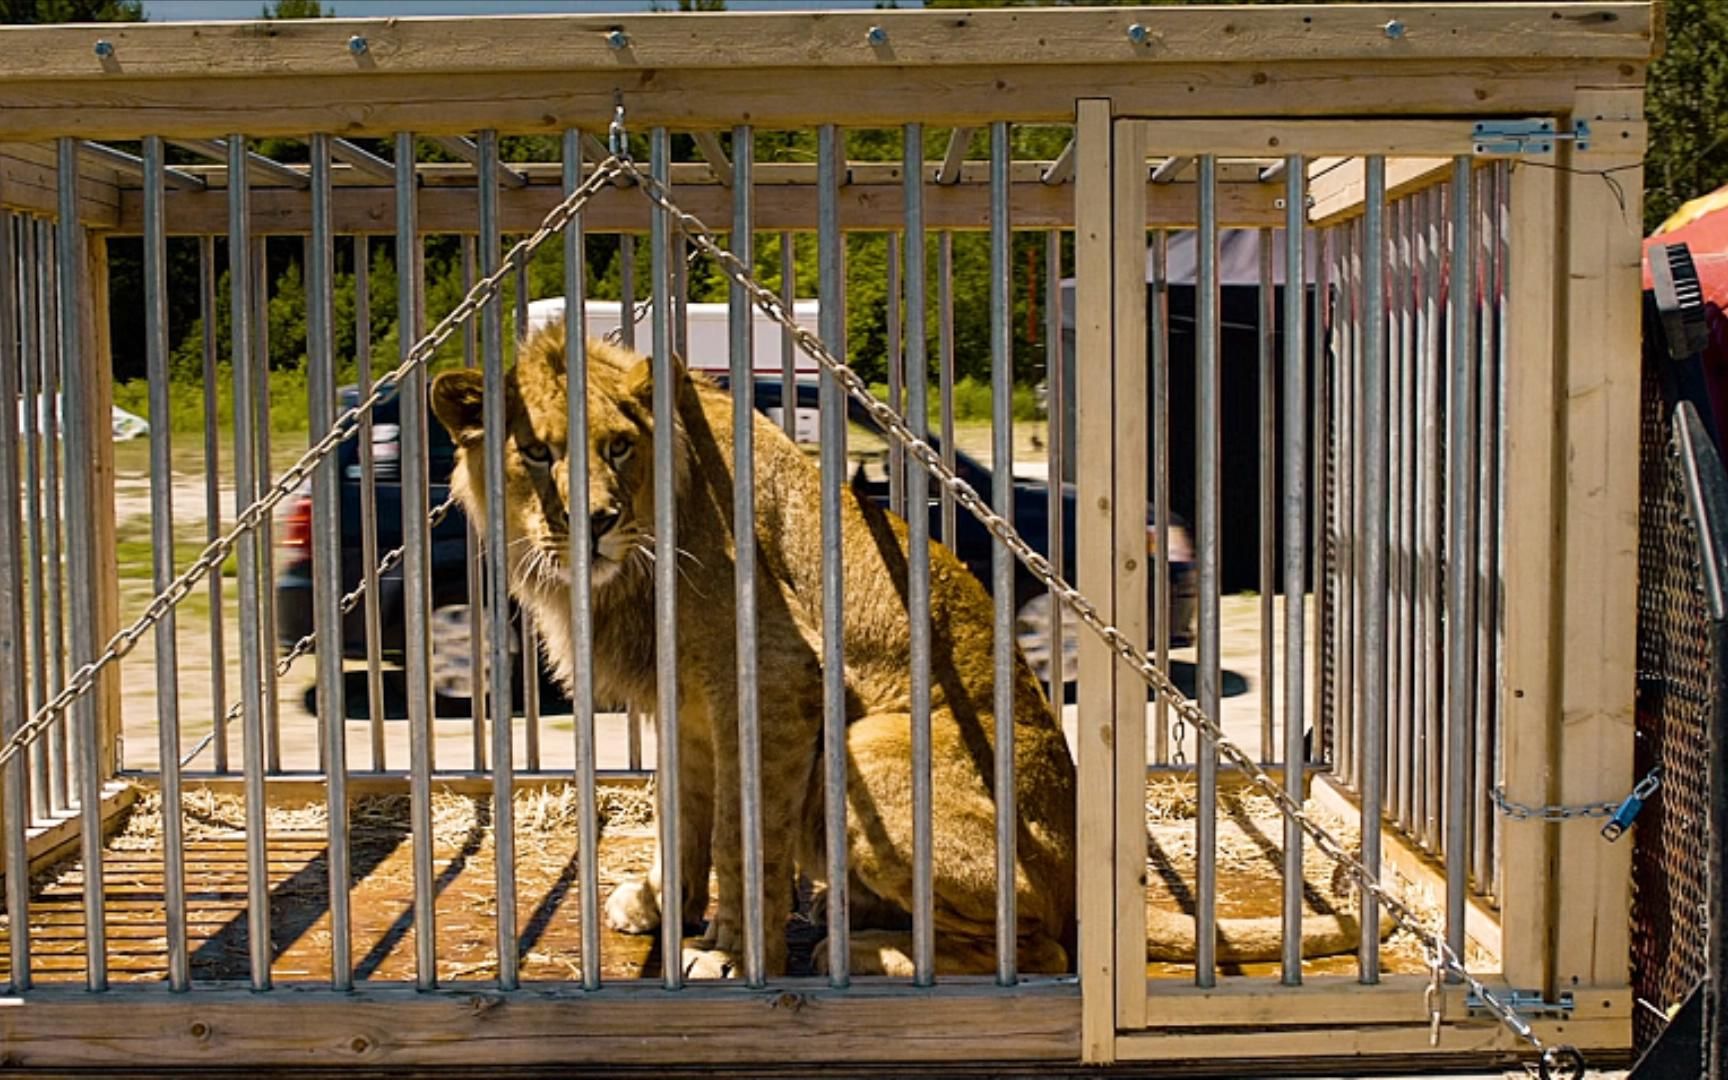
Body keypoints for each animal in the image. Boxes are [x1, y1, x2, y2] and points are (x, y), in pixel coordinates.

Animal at [432, 324, 1375, 974]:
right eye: (535, 452)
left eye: (618, 447)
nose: (589, 520)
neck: (629, 570)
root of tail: (1081, 887)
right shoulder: (686, 707)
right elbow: (687, 815)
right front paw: (663, 904)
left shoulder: (775, 679)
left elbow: (742, 835)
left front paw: (730, 953)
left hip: (867, 748)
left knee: (1040, 950)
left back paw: (856, 950)